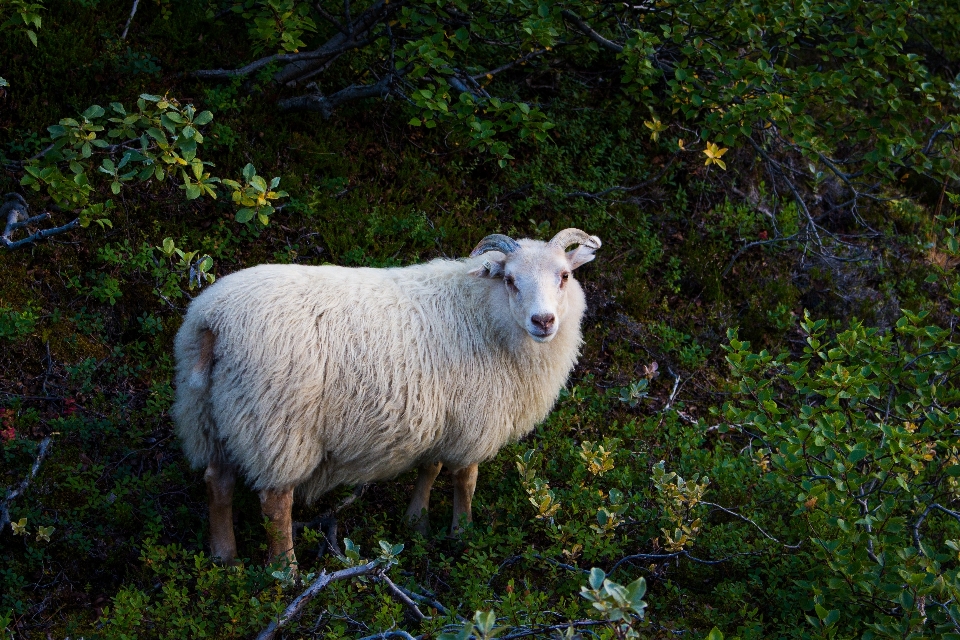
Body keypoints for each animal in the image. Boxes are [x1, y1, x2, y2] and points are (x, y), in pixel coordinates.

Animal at [171, 228, 600, 568]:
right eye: (510, 279)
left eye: (564, 275)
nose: (543, 321)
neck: (483, 312)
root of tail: (213, 321)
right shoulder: (473, 422)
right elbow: (465, 480)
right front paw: (461, 534)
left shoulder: (439, 417)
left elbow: (430, 468)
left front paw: (416, 523)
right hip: (276, 425)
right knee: (276, 503)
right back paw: (286, 573)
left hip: (209, 413)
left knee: (218, 482)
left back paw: (224, 558)